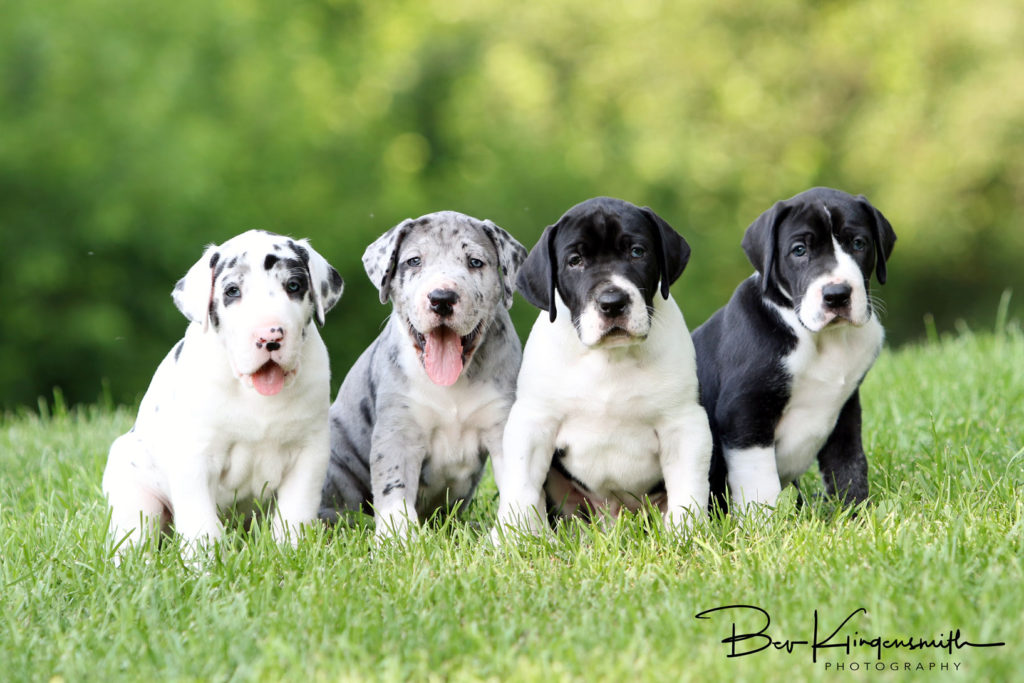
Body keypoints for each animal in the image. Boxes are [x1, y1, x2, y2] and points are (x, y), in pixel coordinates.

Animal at [103, 231, 344, 561]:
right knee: (134, 532)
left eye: (293, 286)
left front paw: (290, 551)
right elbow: (201, 522)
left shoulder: (309, 454)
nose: (270, 336)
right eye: (232, 291)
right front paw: (204, 564)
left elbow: (294, 513)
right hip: (136, 492)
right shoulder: (194, 458)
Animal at [493, 194, 712, 536]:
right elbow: (522, 487)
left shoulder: (684, 424)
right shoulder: (533, 423)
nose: (612, 302)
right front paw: (513, 537)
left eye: (637, 252)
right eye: (574, 261)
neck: (610, 358)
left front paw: (686, 534)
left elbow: (687, 489)